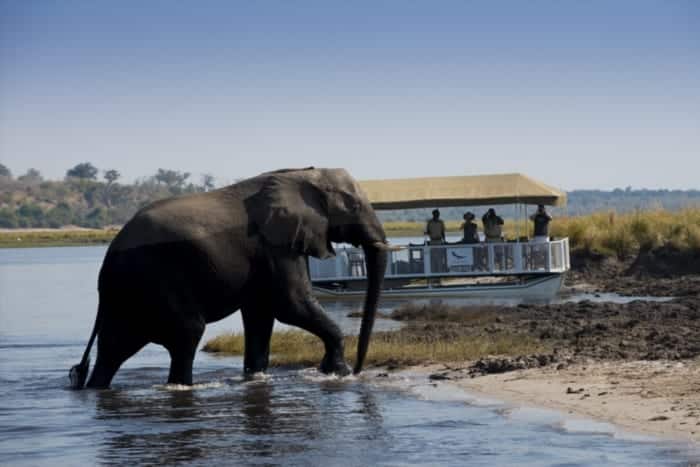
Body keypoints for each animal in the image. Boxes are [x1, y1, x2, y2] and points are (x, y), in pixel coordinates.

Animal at [69, 166, 388, 390]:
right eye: (354, 206)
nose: (360, 370)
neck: (302, 173)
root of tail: (108, 257)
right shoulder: (274, 243)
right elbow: (290, 305)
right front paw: (338, 373)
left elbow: (261, 314)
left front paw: (256, 379)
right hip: (154, 278)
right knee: (186, 333)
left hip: (128, 291)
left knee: (114, 347)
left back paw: (95, 389)